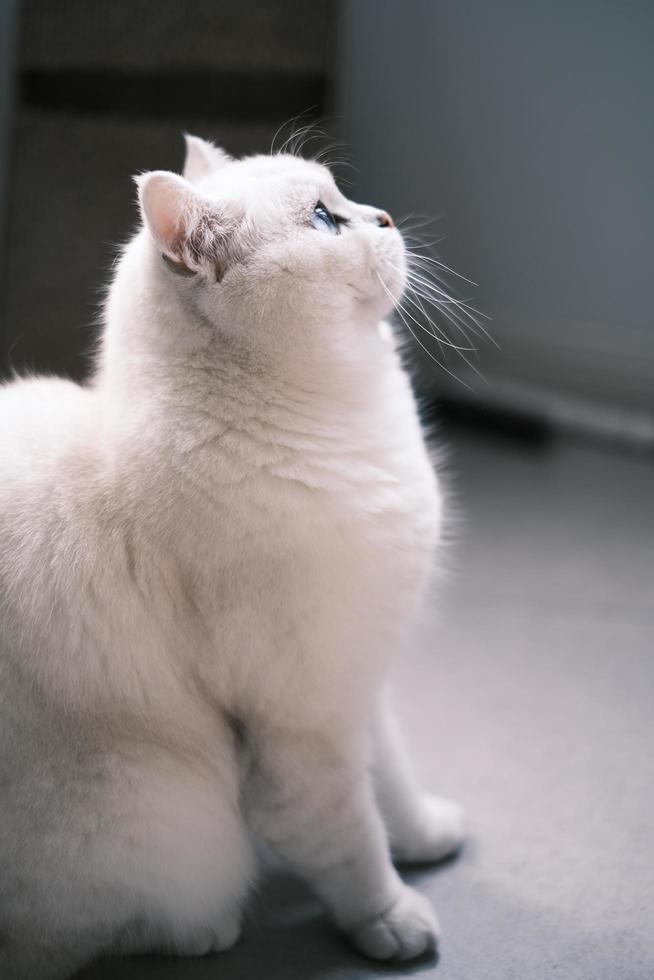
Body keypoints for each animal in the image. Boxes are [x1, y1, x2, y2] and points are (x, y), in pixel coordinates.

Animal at [0, 134, 466, 976]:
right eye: (324, 219)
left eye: (342, 202)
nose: (383, 215)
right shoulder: (302, 727)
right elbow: (353, 842)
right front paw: (394, 923)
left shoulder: (360, 681)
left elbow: (394, 780)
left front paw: (428, 839)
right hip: (161, 809)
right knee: (76, 939)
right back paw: (207, 932)